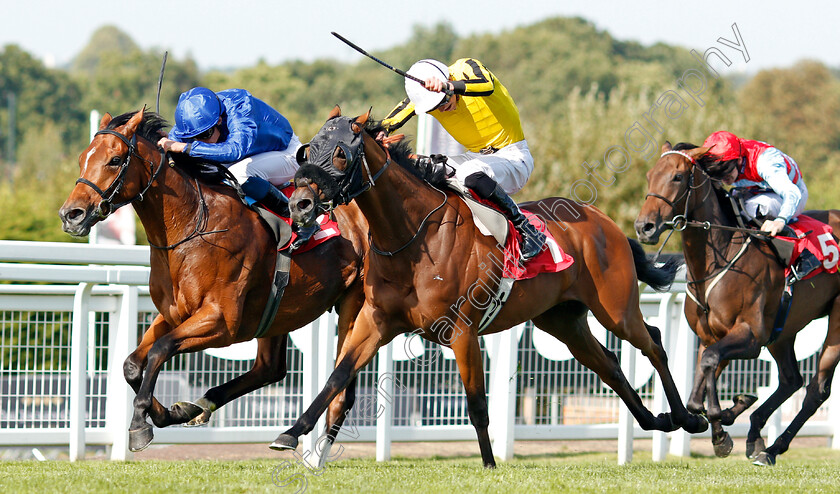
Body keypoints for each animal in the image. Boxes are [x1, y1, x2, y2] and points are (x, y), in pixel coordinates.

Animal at [59, 110, 370, 454]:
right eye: (82, 159)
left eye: (114, 160)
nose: (71, 214)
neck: (192, 224)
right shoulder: (174, 315)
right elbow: (132, 363)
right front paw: (168, 412)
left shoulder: (221, 322)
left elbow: (159, 350)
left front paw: (141, 422)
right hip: (279, 311)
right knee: (269, 368)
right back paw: (201, 405)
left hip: (354, 304)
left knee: (341, 381)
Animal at [270, 108, 708, 466]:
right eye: (306, 152)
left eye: (341, 154)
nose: (300, 204)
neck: (412, 235)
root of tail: (606, 222)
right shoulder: (376, 322)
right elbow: (337, 376)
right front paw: (290, 433)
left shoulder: (462, 331)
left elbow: (478, 403)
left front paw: (490, 464)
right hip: (563, 321)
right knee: (610, 364)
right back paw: (656, 419)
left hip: (616, 309)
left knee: (653, 342)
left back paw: (688, 417)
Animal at [636, 141, 840, 466]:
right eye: (649, 176)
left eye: (677, 177)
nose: (644, 227)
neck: (718, 259)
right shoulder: (711, 336)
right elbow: (698, 387)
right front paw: (728, 418)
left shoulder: (751, 335)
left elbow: (708, 368)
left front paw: (723, 425)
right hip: (783, 330)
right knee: (791, 379)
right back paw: (757, 436)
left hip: (834, 320)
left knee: (816, 390)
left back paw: (772, 448)